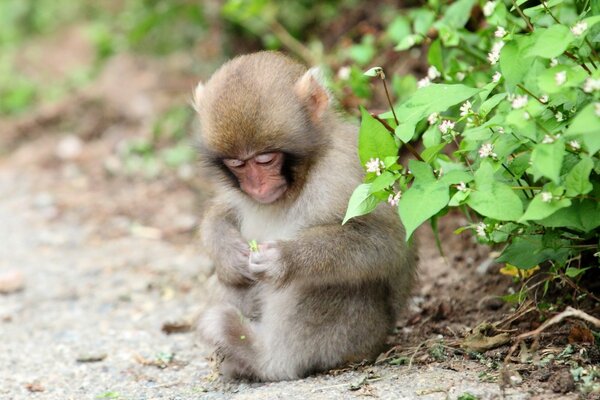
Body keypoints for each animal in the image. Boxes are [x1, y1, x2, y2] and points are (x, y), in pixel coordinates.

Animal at [193, 50, 418, 382]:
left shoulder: (343, 171)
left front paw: (284, 258)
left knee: (330, 285)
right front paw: (229, 253)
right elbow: (222, 211)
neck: (304, 174)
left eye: (265, 159)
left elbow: (386, 243)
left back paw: (262, 358)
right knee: (233, 282)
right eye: (237, 164)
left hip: (353, 339)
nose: (257, 186)